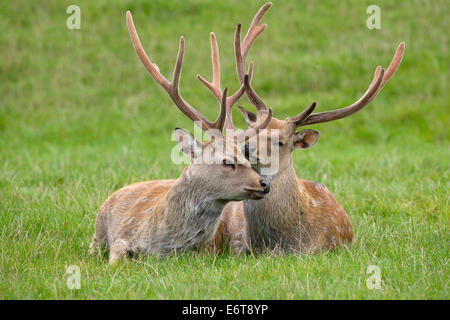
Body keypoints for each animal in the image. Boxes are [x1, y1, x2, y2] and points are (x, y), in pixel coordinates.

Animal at [88, 11, 272, 264]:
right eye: (227, 162)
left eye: (246, 158)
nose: (264, 183)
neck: (164, 245)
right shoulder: (123, 236)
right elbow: (116, 262)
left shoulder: (208, 251)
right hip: (98, 228)